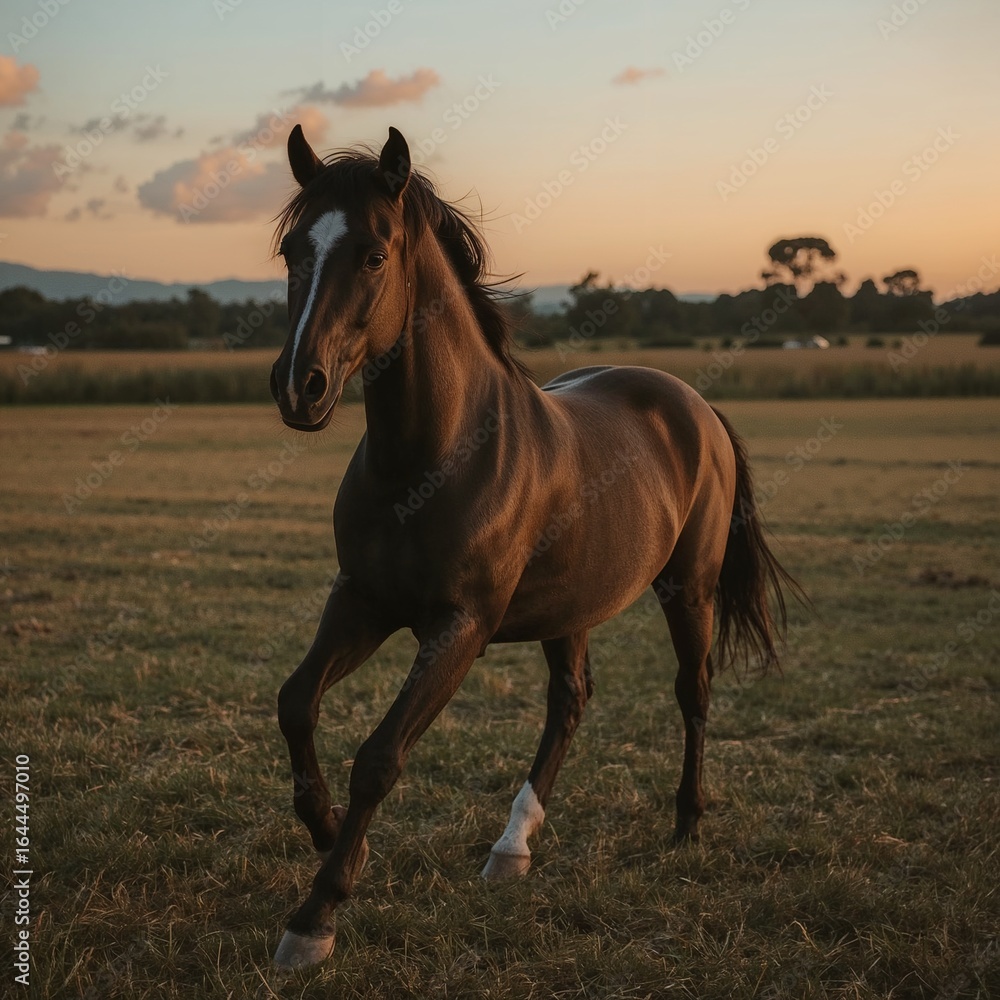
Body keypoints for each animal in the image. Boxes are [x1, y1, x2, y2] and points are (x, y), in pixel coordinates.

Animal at [267, 124, 799, 969]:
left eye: (375, 256)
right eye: (292, 250)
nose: (300, 387)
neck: (433, 457)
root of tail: (694, 403)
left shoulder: (460, 628)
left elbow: (379, 757)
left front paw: (316, 915)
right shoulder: (360, 600)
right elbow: (295, 703)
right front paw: (322, 834)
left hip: (689, 589)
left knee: (693, 691)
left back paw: (686, 822)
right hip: (570, 608)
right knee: (570, 701)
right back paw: (512, 846)